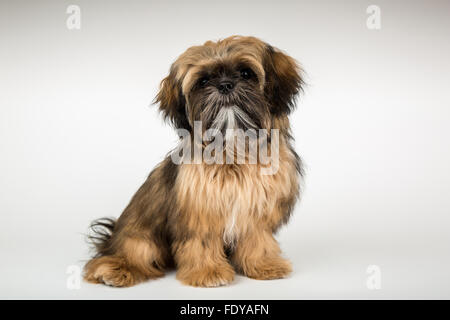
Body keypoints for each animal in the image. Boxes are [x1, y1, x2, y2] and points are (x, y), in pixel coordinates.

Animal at [83, 35, 304, 288]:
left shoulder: (256, 211)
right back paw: (115, 270)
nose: (225, 85)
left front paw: (263, 265)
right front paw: (208, 271)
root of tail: (112, 238)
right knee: (128, 254)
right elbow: (202, 242)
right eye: (204, 80)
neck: (233, 153)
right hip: (141, 237)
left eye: (246, 73)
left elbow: (257, 240)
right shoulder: (199, 211)